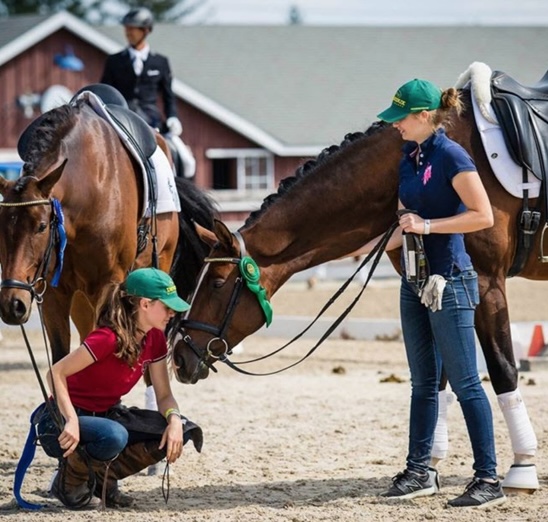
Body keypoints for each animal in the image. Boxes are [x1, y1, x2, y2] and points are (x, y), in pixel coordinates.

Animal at [0, 98, 215, 368]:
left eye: (41, 226)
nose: (13, 305)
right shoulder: (54, 293)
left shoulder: (107, 285)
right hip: (81, 297)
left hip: (158, 265)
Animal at [170, 87, 542, 492]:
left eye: (218, 283)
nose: (179, 358)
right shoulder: (429, 289)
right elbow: (439, 377)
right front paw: (427, 468)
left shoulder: (487, 283)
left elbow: (502, 369)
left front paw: (522, 468)